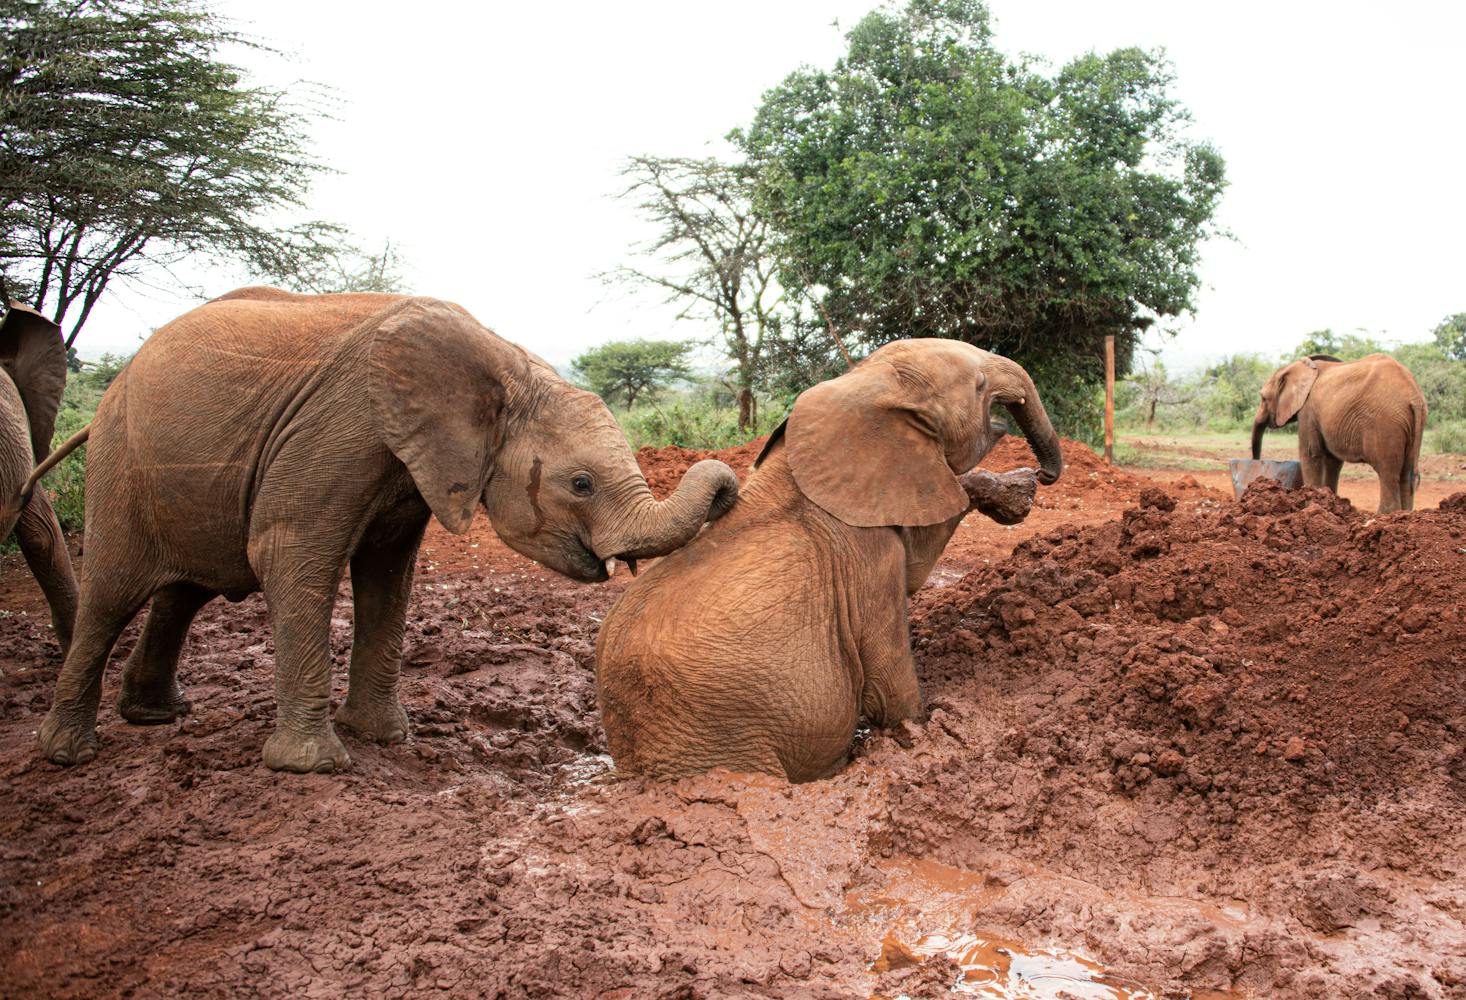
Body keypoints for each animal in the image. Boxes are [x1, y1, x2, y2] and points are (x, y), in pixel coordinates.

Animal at [40, 288, 738, 768]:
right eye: (581, 484)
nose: (731, 489)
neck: (503, 362)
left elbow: (387, 576)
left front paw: (383, 736)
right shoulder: (338, 432)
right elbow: (290, 555)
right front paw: (314, 767)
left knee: (184, 591)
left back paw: (155, 717)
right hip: (120, 463)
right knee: (113, 593)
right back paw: (67, 753)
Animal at [595, 338, 1067, 780]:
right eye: (980, 385)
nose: (1044, 474)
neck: (860, 386)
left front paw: (1015, 494)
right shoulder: (865, 557)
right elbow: (889, 686)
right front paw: (923, 727)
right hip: (726, 745)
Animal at [1254, 351, 1424, 510]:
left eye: (1263, 398)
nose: (1257, 463)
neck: (1298, 367)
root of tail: (1414, 396)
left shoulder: (1308, 411)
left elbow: (1310, 454)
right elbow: (1333, 461)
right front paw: (1330, 503)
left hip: (1385, 424)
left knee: (1388, 472)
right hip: (1409, 424)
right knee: (1406, 474)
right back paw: (1403, 514)